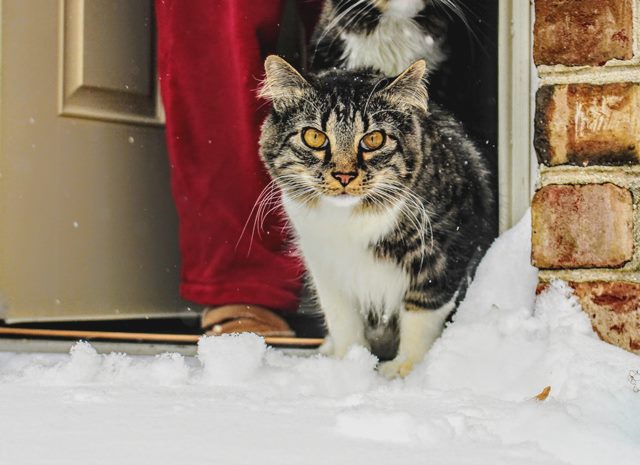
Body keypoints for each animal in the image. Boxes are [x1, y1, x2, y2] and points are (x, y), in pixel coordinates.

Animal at [258, 57, 492, 376]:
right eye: (314, 137)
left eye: (374, 139)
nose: (344, 175)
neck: (348, 221)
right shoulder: (324, 264)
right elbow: (342, 319)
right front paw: (350, 365)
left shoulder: (448, 246)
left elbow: (422, 312)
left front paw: (405, 369)